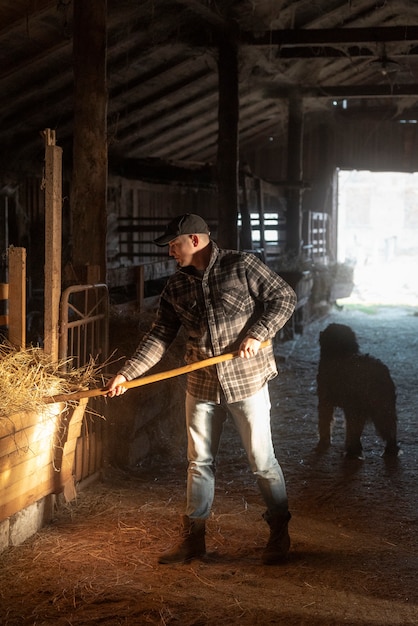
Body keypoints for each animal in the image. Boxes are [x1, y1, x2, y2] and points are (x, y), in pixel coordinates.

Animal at [316, 324, 398, 456]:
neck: (340, 353)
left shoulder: (325, 401)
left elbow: (325, 421)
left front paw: (323, 442)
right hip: (383, 406)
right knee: (389, 427)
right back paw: (390, 450)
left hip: (359, 406)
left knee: (354, 429)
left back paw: (352, 451)